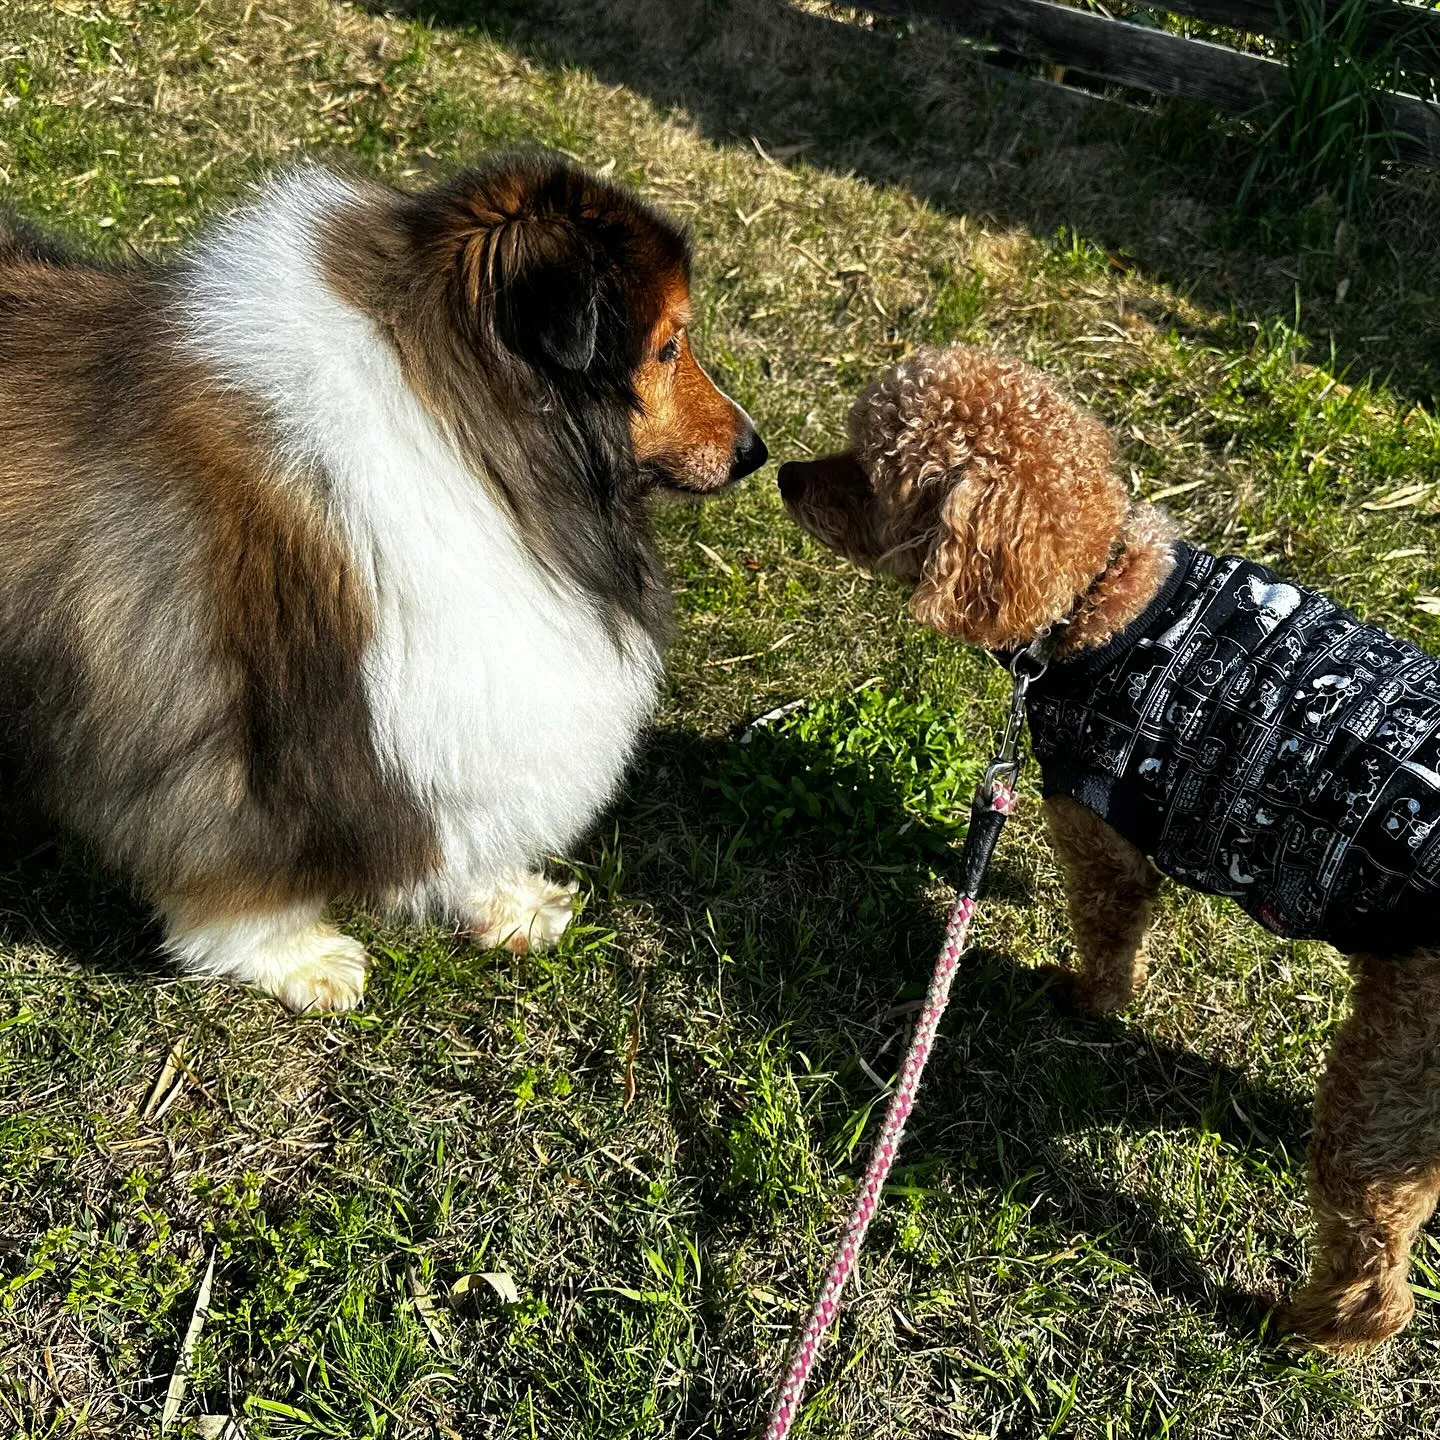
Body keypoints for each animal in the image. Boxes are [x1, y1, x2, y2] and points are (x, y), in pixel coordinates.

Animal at [0, 154, 766, 1013]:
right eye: (668, 346)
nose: (755, 449)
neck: (468, 426)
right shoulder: (235, 709)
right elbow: (241, 851)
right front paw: (296, 956)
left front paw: (509, 900)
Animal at [783, 342, 1440, 1353]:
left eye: (869, 471)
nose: (781, 473)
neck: (1100, 595)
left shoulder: (1096, 832)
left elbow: (1107, 930)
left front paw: (1087, 998)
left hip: (1394, 1056)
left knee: (1373, 1236)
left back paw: (1310, 1330)